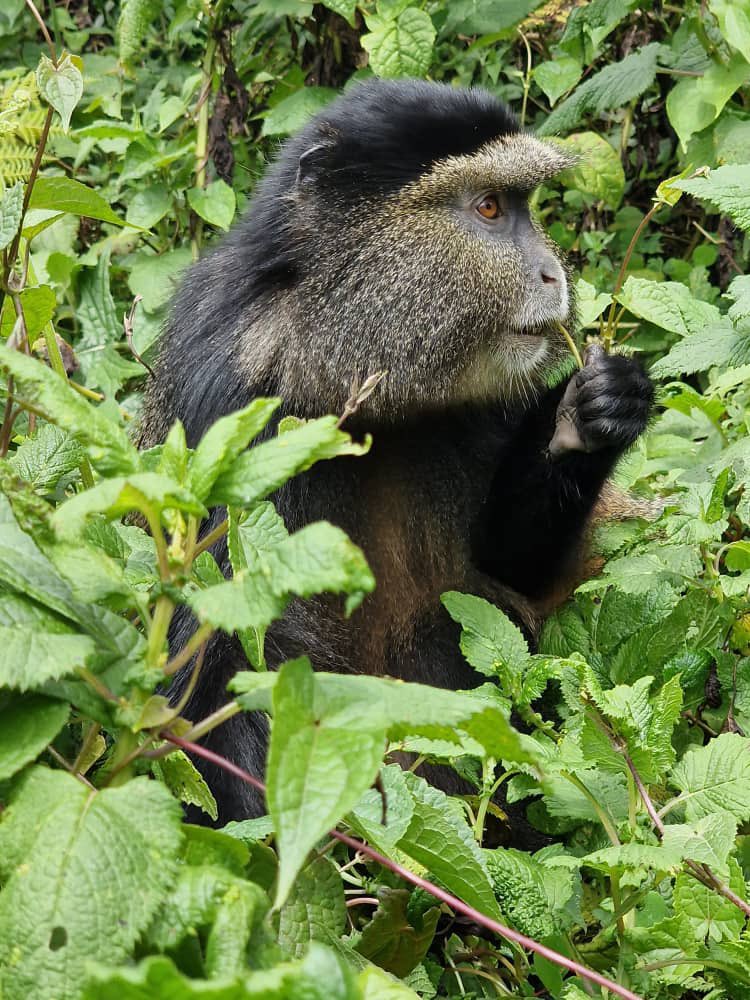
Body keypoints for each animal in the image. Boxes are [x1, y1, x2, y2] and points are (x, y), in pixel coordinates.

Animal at [139, 79, 654, 825]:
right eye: (489, 207)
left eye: (523, 205)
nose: (552, 274)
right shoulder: (230, 405)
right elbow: (223, 668)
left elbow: (510, 571)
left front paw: (590, 415)